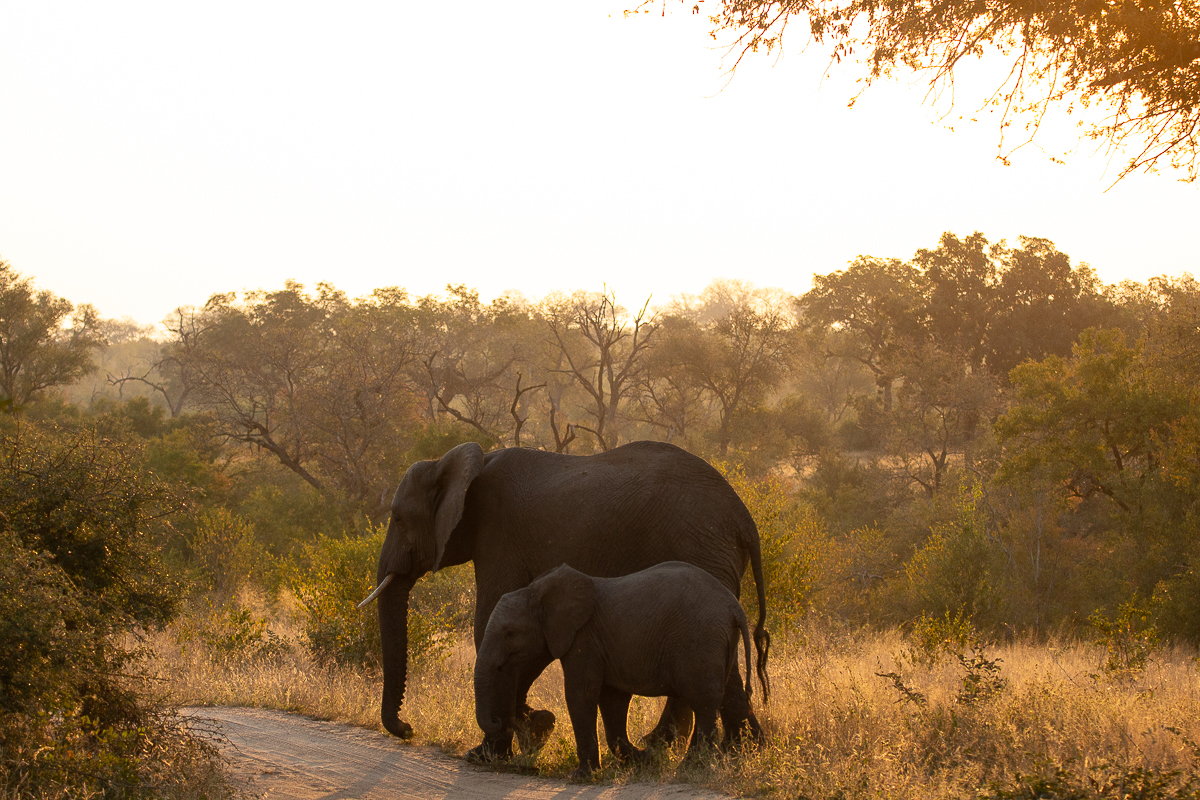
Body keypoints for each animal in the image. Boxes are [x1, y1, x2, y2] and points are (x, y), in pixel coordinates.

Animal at [357, 439, 770, 755]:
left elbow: (488, 619)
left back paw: (712, 749)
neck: (460, 462)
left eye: (397, 518)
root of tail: (744, 518)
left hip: (698, 547)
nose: (407, 729)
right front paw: (536, 730)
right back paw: (732, 748)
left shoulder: (499, 536)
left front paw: (497, 748)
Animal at [475, 562, 760, 777]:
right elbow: (613, 700)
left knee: (703, 703)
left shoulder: (584, 638)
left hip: (701, 641)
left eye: (510, 633)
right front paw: (646, 759)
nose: (498, 720)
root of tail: (735, 607)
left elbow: (580, 694)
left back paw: (691, 767)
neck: (537, 590)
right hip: (719, 643)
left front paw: (582, 776)